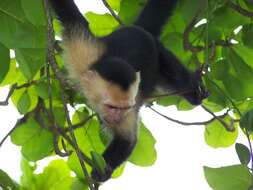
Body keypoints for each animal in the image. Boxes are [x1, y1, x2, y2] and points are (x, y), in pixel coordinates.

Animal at [49, 0, 208, 182]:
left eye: (123, 108)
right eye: (112, 107)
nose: (117, 118)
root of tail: (139, 29)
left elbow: (126, 140)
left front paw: (103, 170)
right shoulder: (84, 52)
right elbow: (69, 14)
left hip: (159, 53)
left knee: (173, 73)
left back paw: (193, 91)